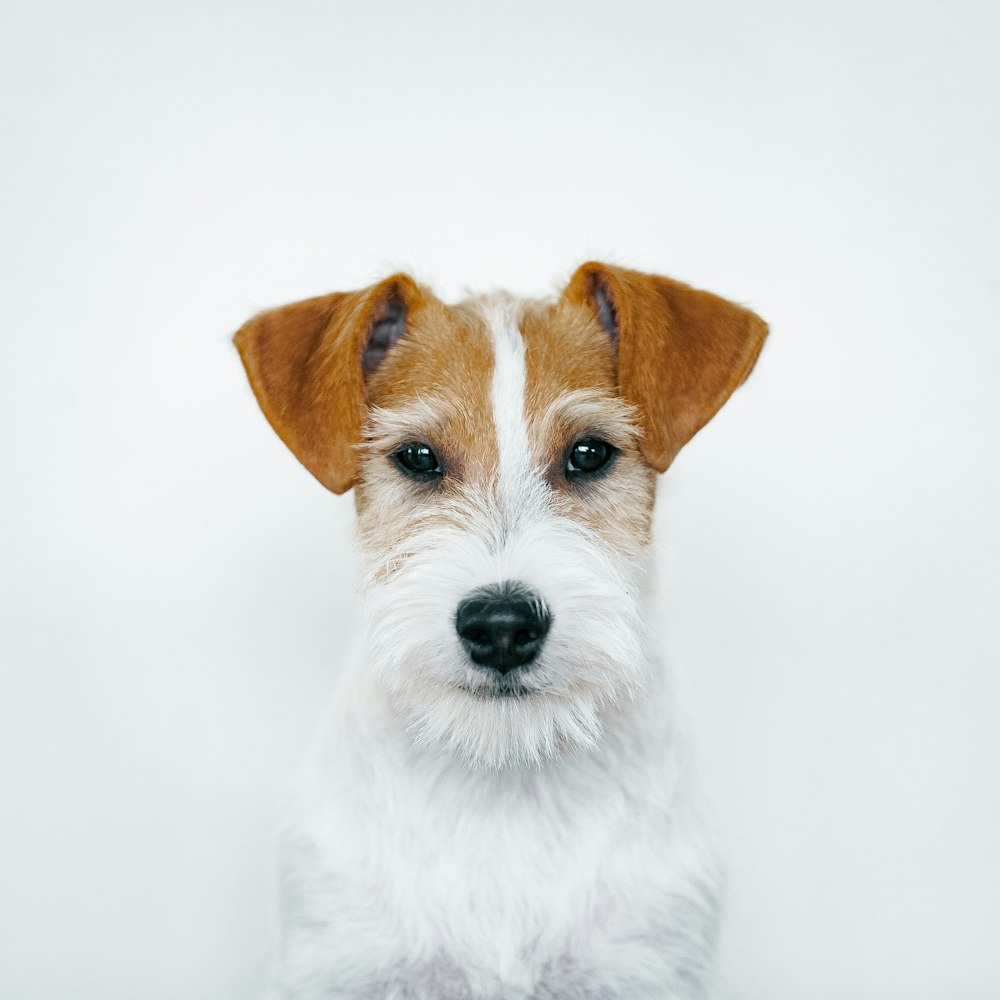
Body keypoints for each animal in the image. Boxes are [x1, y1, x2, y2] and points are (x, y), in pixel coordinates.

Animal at [232, 264, 764, 1000]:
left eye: (589, 453)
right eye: (417, 456)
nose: (503, 627)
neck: (503, 780)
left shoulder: (641, 965)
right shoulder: (342, 963)